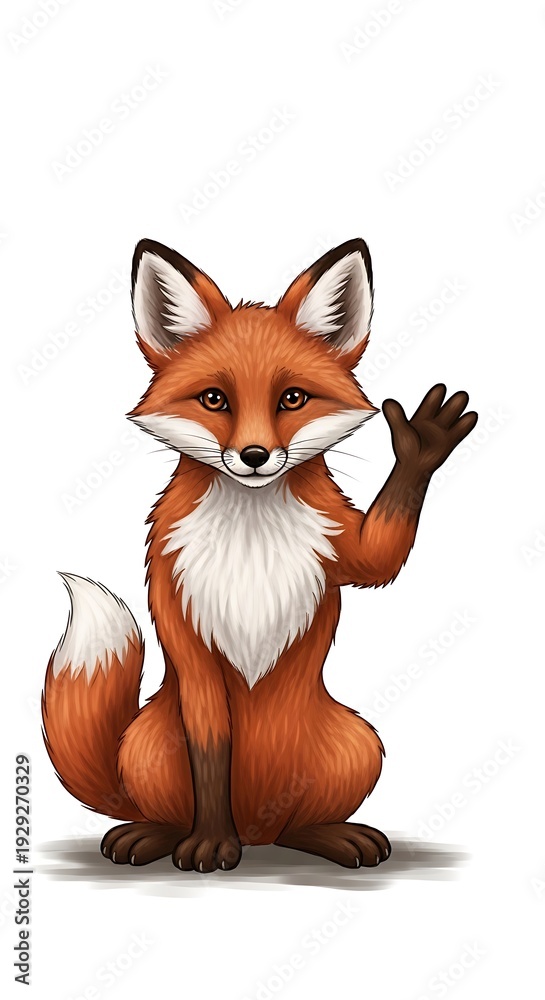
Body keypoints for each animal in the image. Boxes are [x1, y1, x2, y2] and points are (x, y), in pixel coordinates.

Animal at [42, 237, 477, 873]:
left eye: (292, 398)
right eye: (214, 399)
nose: (254, 455)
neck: (251, 535)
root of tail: (260, 832)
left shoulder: (341, 544)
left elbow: (380, 559)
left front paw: (421, 445)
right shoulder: (186, 636)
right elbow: (211, 754)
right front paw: (208, 844)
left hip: (359, 745)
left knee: (299, 827)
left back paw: (330, 836)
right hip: (150, 745)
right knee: (162, 809)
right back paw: (155, 834)